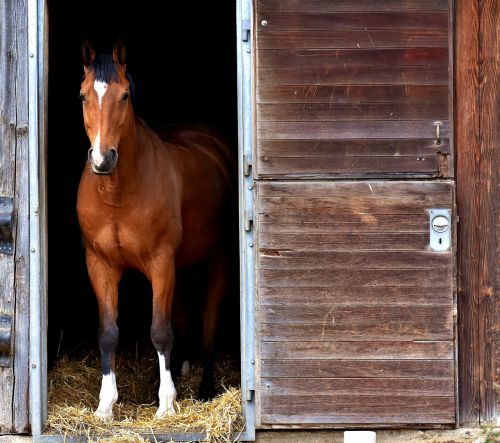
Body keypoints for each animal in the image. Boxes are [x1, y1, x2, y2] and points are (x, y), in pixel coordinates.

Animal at [76, 41, 236, 420]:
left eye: (124, 95)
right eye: (83, 95)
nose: (103, 159)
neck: (118, 193)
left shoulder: (160, 262)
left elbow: (161, 331)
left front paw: (166, 404)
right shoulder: (100, 265)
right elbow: (108, 332)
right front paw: (105, 405)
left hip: (217, 258)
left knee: (208, 319)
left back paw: (205, 388)